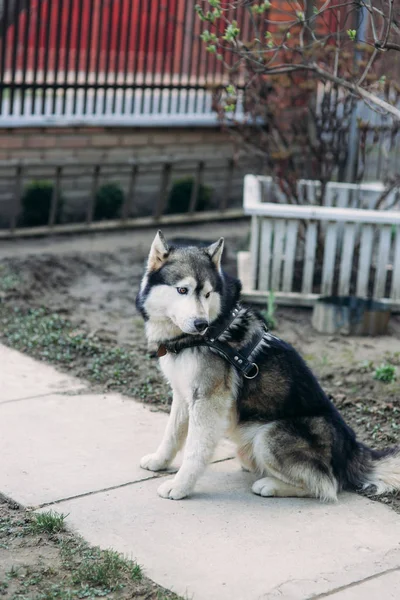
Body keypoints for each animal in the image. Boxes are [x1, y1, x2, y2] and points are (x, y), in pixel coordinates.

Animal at [137, 231, 400, 502]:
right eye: (182, 290)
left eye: (208, 294)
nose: (201, 323)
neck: (204, 337)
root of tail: (352, 451)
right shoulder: (183, 394)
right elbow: (172, 434)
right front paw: (159, 461)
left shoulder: (208, 400)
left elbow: (195, 450)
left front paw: (180, 486)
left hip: (268, 435)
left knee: (326, 484)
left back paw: (271, 485)